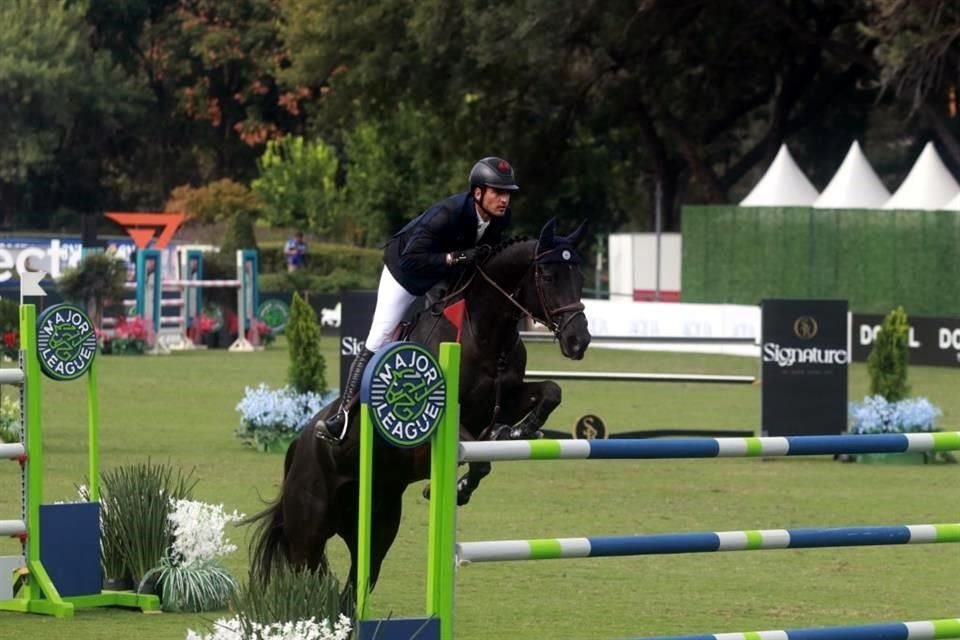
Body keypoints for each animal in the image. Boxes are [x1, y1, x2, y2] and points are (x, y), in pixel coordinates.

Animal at [248, 218, 592, 592]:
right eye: (548, 277)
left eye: (580, 277)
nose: (579, 341)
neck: (483, 335)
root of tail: (299, 443)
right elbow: (479, 460)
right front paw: (457, 488)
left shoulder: (507, 397)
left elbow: (551, 392)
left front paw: (516, 431)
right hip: (308, 534)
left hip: (377, 527)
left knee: (356, 585)